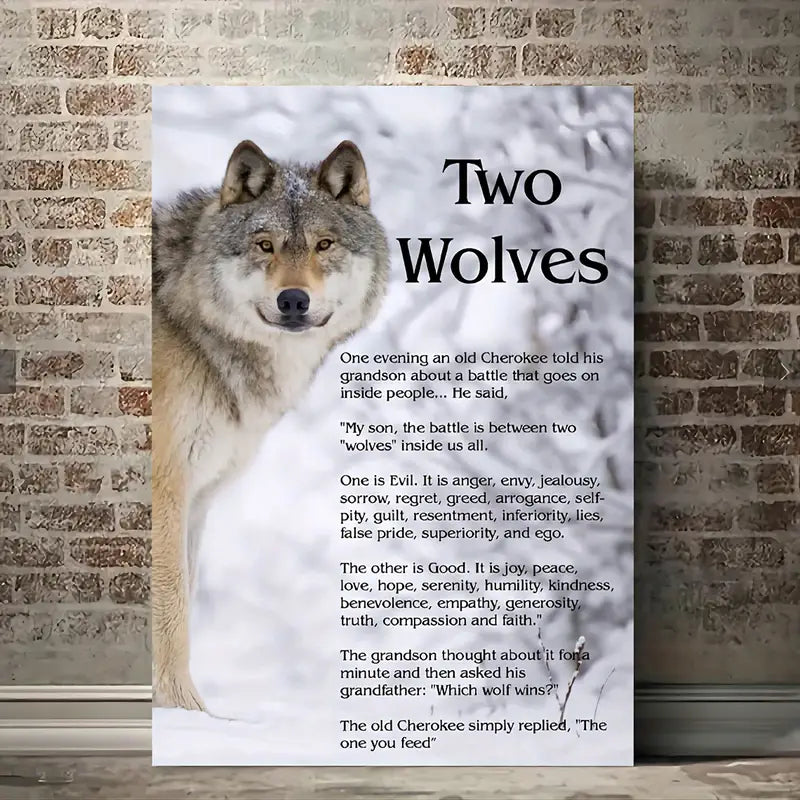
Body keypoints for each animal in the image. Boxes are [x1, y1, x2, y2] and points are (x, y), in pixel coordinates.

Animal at [151, 139, 389, 711]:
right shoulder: (166, 488)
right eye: (266, 245)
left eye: (324, 244)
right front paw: (184, 710)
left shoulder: (198, 498)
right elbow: (172, 606)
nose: (294, 300)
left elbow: (184, 598)